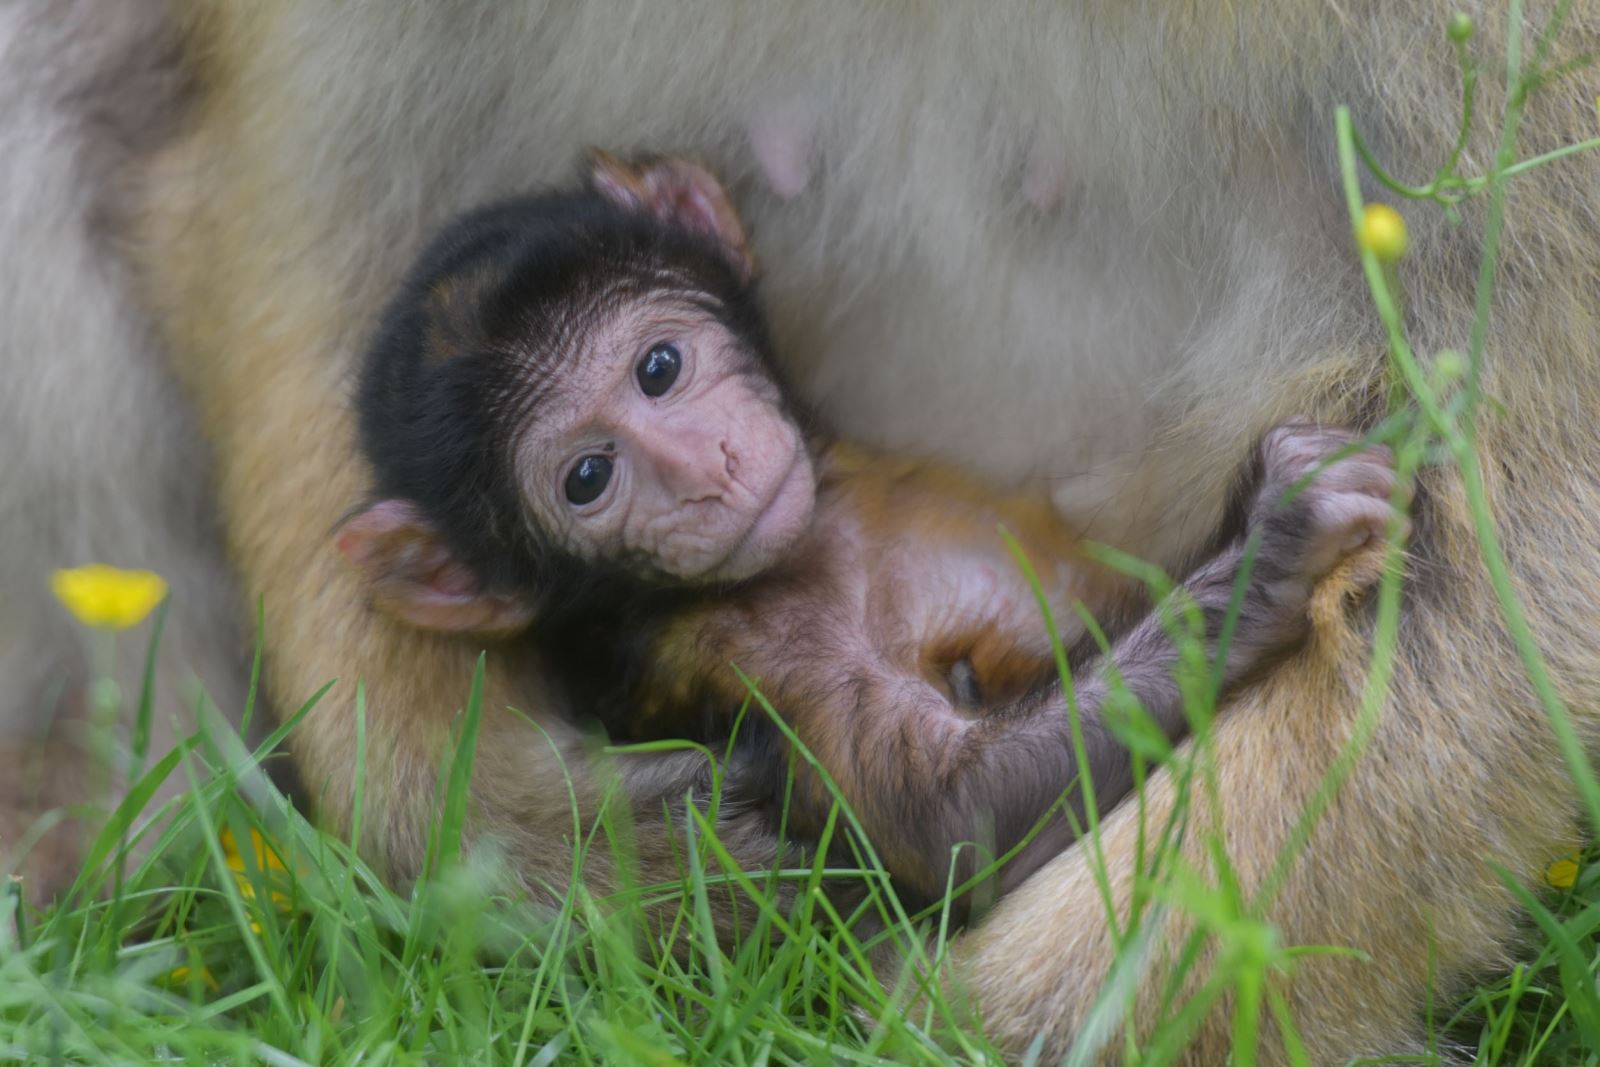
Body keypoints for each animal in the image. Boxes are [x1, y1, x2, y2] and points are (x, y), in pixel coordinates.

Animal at [340, 154, 1401, 908]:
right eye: (588, 477)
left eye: (659, 367)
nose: (703, 471)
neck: (828, 531)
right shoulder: (752, 648)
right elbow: (955, 817)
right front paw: (1270, 542)